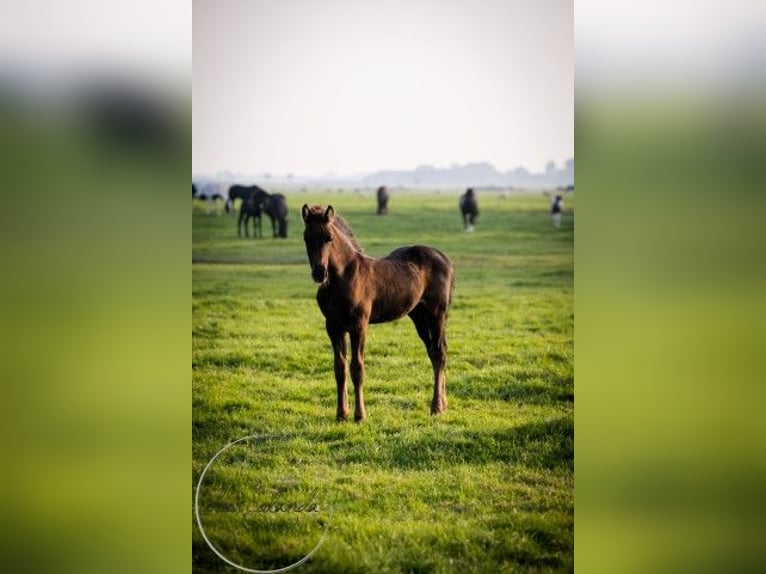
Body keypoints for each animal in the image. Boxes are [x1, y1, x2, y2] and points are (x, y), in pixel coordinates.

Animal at [302, 205, 456, 420]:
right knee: (434, 353)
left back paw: (436, 407)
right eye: (306, 238)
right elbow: (339, 368)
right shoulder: (333, 326)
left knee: (440, 353)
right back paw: (443, 404)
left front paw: (360, 415)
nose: (319, 273)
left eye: (329, 238)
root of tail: (445, 259)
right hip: (419, 318)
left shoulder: (358, 325)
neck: (342, 277)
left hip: (436, 315)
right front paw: (341, 414)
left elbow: (357, 368)